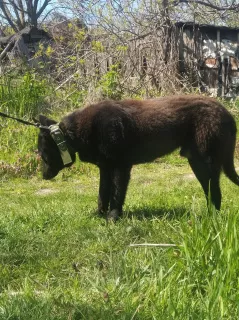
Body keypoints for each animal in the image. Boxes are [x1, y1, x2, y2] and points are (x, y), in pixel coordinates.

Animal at [36, 95, 239, 220]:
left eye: (42, 153)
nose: (43, 177)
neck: (73, 135)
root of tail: (226, 113)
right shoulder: (106, 168)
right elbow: (102, 194)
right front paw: (99, 214)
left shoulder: (120, 168)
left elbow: (116, 194)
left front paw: (113, 217)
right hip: (197, 163)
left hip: (205, 163)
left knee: (216, 193)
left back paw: (211, 218)